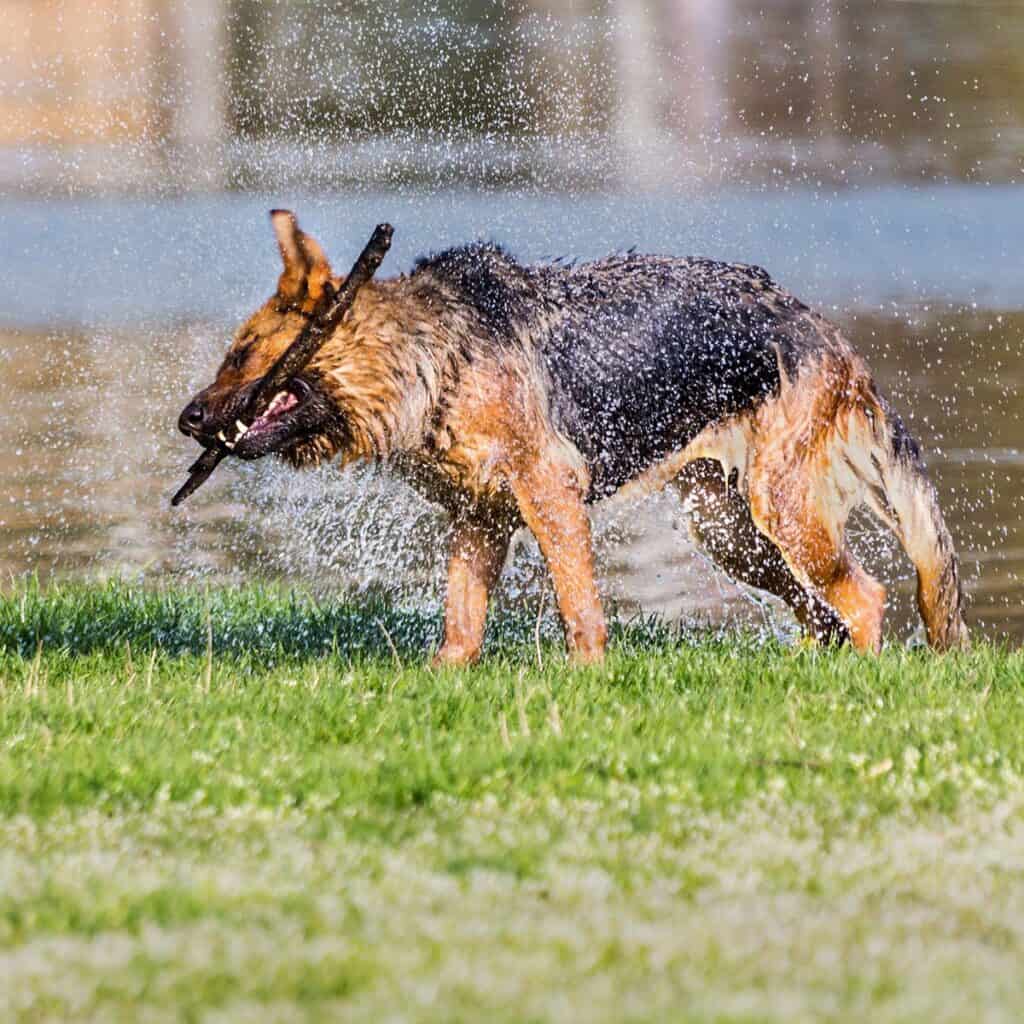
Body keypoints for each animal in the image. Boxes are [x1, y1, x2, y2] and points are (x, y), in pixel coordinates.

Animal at [178, 211, 966, 667]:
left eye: (242, 354)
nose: (186, 421)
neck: (432, 357)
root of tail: (824, 331)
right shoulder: (480, 519)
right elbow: (461, 622)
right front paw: (441, 682)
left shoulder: (549, 495)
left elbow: (580, 607)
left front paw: (588, 682)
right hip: (726, 530)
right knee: (820, 611)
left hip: (783, 509)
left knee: (863, 599)